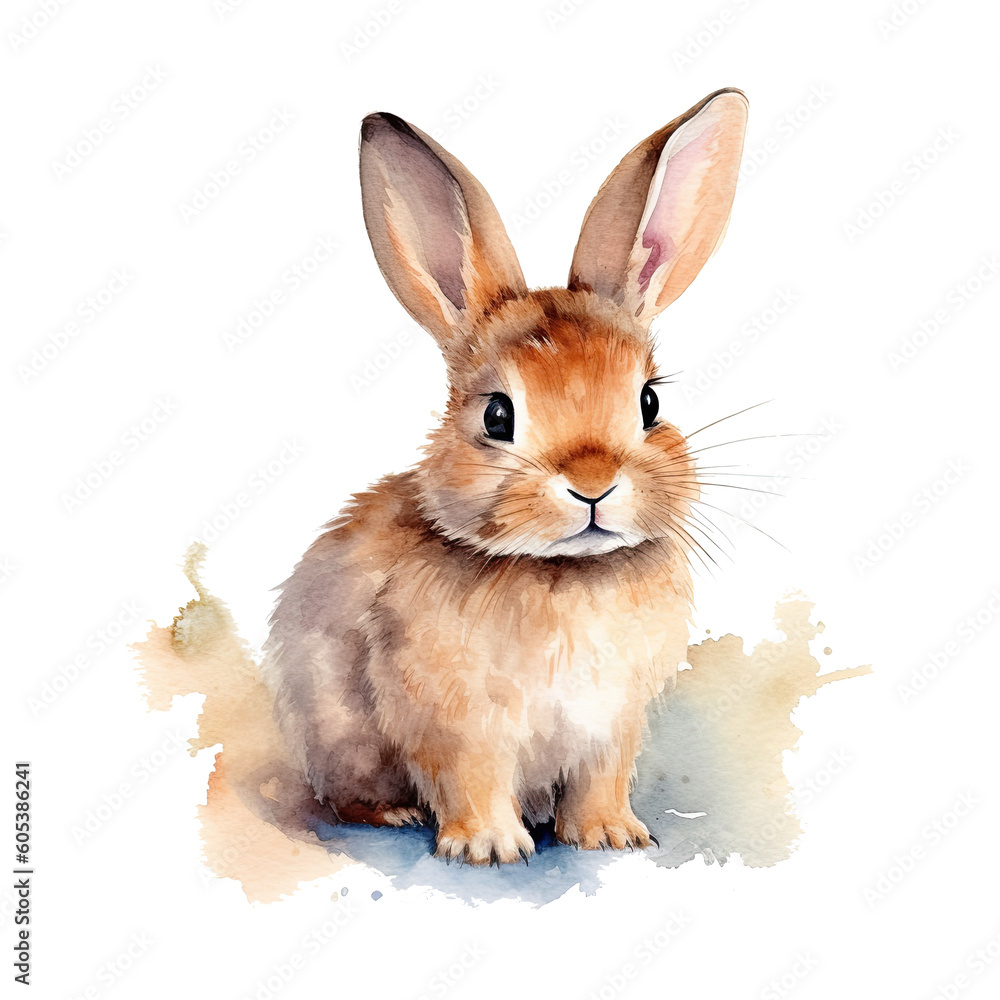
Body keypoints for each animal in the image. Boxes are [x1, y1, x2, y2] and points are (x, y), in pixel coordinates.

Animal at [261, 88, 749, 865]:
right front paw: (489, 847)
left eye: (649, 403)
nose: (591, 481)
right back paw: (394, 813)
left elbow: (601, 781)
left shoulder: (612, 726)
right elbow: (472, 779)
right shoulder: (455, 725)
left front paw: (611, 836)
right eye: (497, 414)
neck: (564, 574)